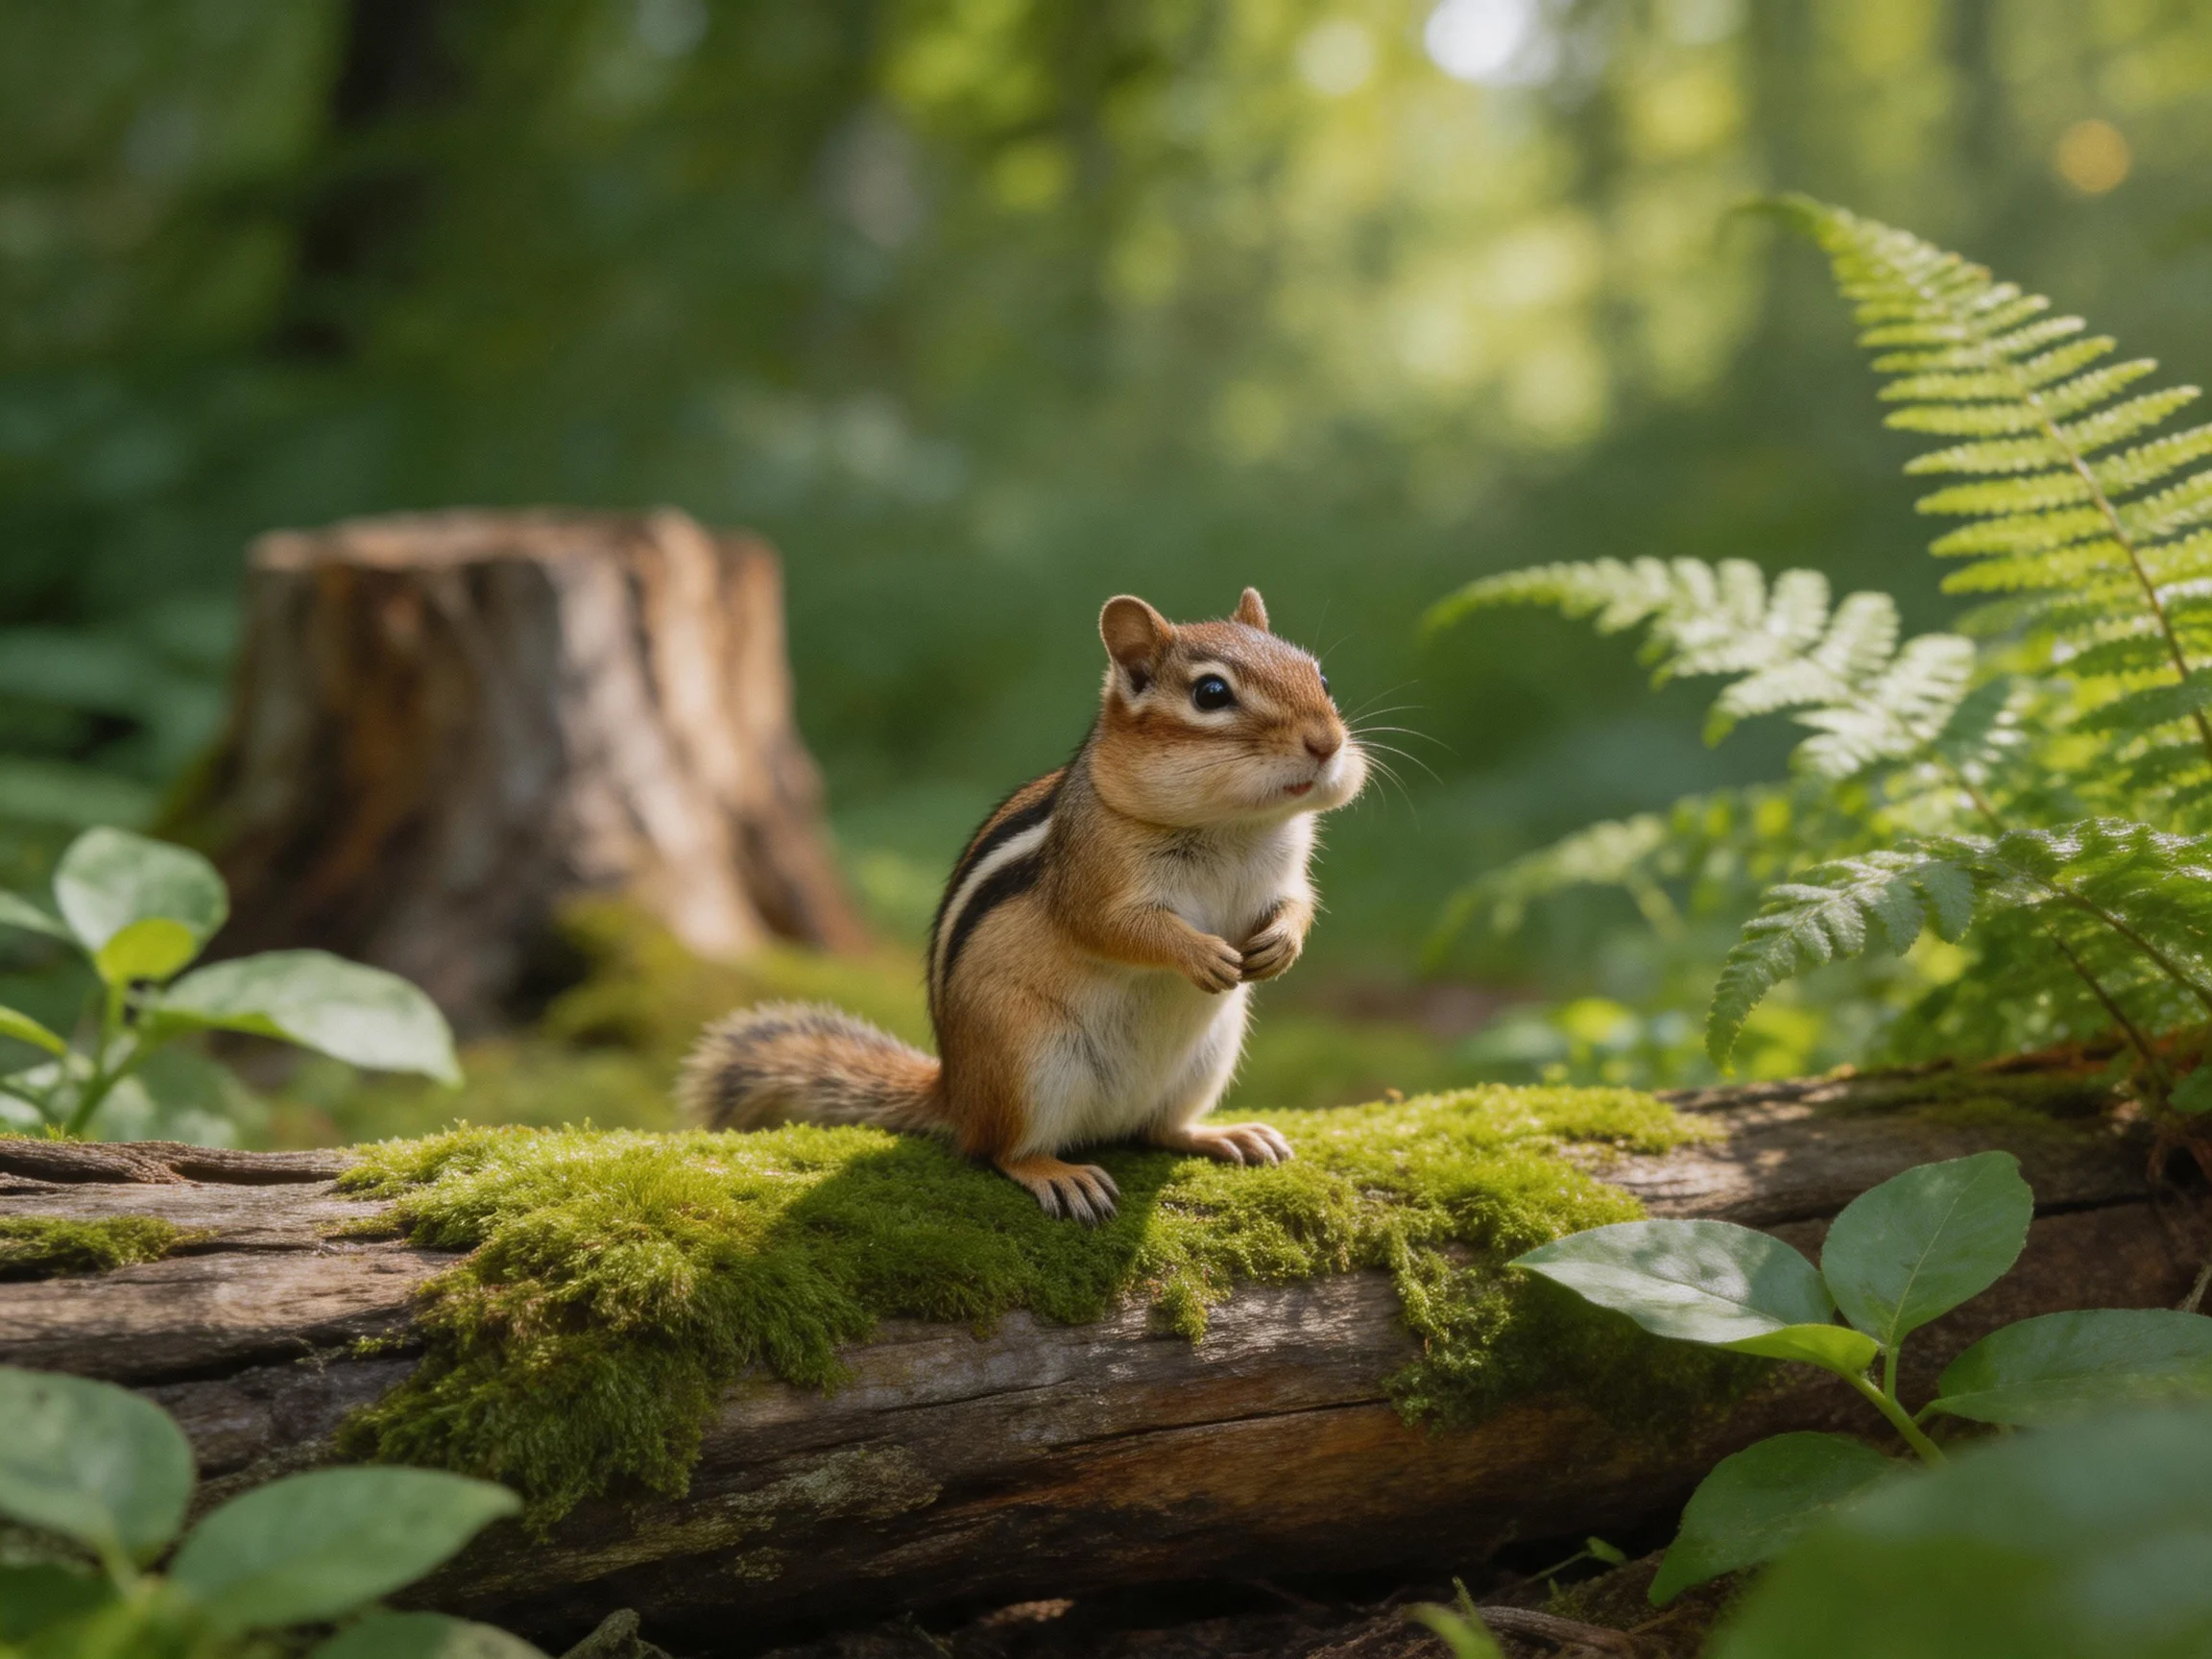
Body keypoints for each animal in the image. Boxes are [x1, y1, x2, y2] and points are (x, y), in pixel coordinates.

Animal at [677, 587, 1367, 1222]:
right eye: (1212, 694)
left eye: (1323, 678)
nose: (1327, 742)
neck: (1234, 826)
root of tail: (956, 1093)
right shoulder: (1091, 875)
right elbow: (1115, 928)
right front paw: (1199, 953)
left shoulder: (1287, 871)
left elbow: (1298, 901)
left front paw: (1282, 943)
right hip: (1027, 1062)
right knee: (996, 1150)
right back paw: (1056, 1173)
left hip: (1204, 1061)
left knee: (1157, 1130)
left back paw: (1224, 1134)